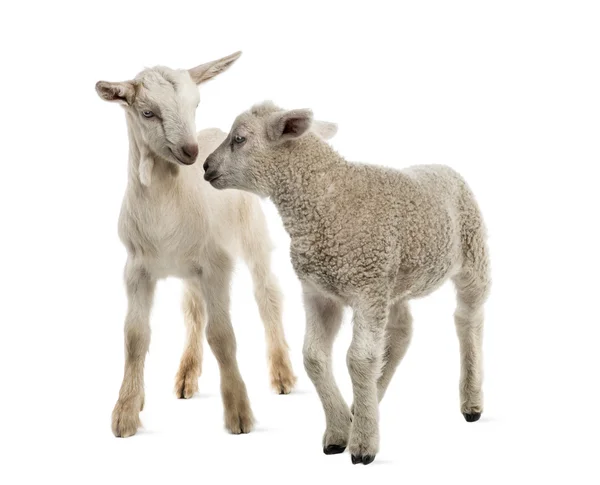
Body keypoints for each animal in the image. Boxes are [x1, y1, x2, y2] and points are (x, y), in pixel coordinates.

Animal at [204, 100, 490, 464]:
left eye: (239, 138)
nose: (205, 167)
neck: (326, 201)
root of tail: (443, 166)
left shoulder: (366, 289)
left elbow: (358, 360)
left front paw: (364, 444)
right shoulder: (319, 292)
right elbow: (314, 357)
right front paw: (339, 432)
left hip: (472, 255)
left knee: (468, 319)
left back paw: (471, 403)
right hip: (393, 281)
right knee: (400, 335)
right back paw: (365, 404)